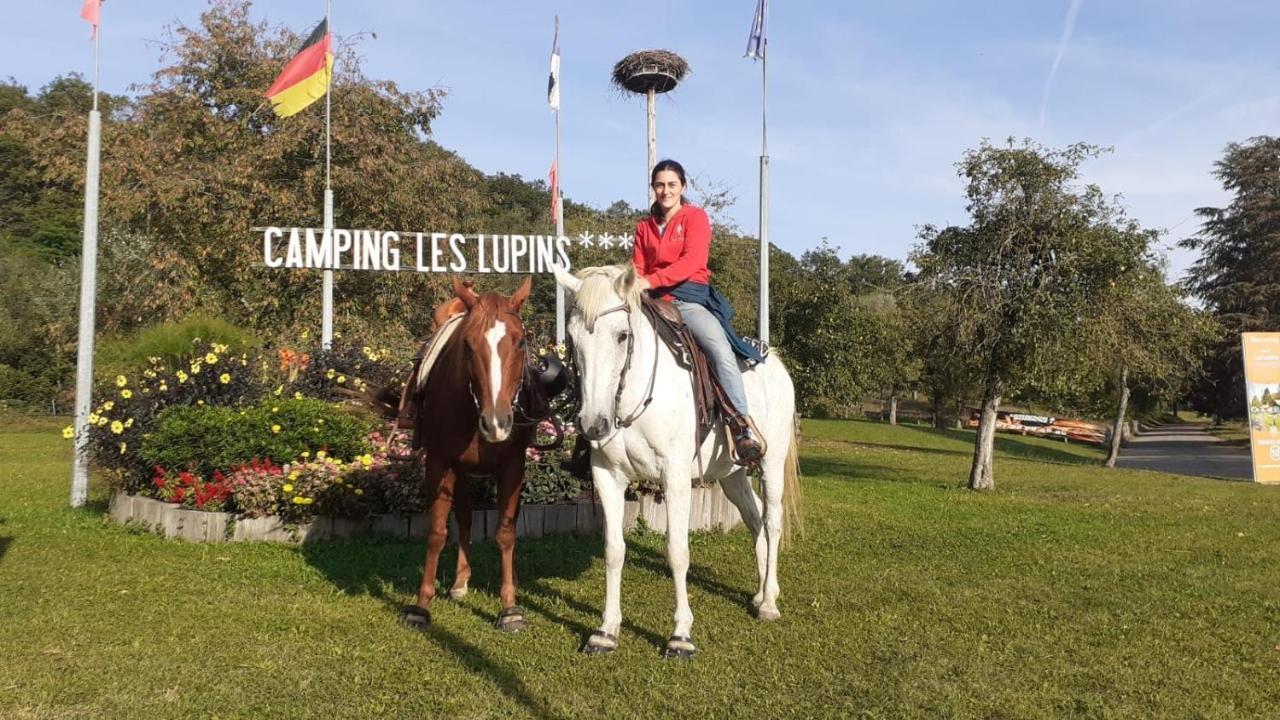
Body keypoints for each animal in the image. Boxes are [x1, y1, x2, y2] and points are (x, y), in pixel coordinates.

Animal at [401, 274, 537, 627]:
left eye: (520, 342)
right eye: (467, 344)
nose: (496, 423)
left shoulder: (513, 466)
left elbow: (506, 532)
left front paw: (509, 607)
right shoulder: (440, 462)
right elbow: (437, 532)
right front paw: (422, 605)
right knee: (463, 517)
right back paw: (460, 581)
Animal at [550, 262, 798, 655]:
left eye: (622, 336)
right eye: (573, 339)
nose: (593, 423)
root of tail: (774, 363)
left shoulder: (676, 477)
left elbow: (677, 551)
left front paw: (681, 634)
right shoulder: (606, 476)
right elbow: (614, 550)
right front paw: (606, 630)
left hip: (770, 462)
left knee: (772, 520)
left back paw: (770, 603)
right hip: (731, 475)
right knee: (755, 518)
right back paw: (760, 594)